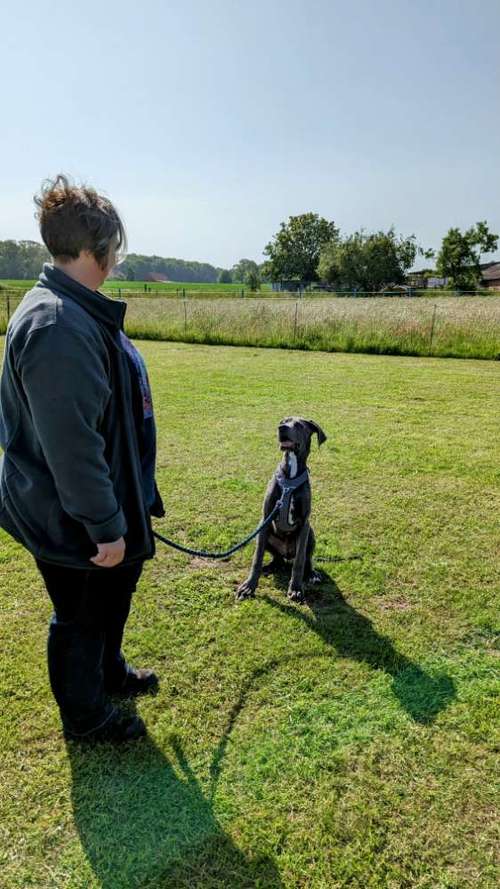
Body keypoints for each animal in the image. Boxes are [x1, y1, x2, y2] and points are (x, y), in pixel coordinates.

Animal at [237, 418, 328, 604]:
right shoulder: (264, 519)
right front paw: (249, 587)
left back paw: (311, 574)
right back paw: (270, 567)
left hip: (311, 534)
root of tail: (287, 555)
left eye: (299, 425)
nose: (281, 428)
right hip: (264, 535)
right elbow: (256, 558)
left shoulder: (304, 523)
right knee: (277, 559)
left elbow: (299, 562)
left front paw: (296, 589)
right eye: (283, 421)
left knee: (306, 558)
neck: (290, 479)